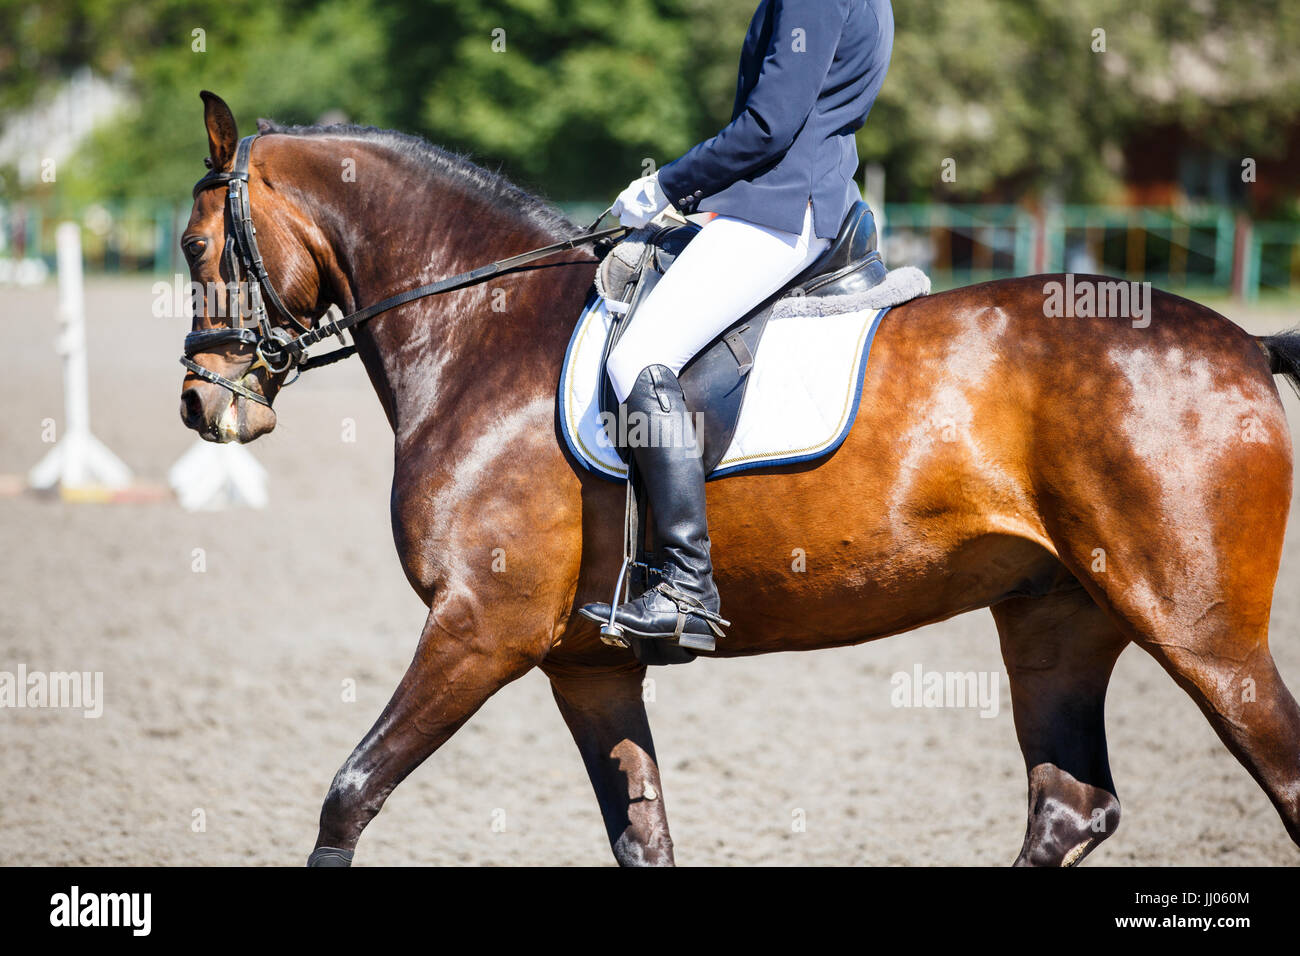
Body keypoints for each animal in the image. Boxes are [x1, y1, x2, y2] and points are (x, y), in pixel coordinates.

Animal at [175, 95, 1300, 868]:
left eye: (193, 245)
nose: (200, 403)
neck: (482, 336)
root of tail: (1245, 342)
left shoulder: (478, 629)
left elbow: (349, 791)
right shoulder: (585, 666)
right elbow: (643, 836)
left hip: (1199, 630)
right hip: (1055, 615)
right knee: (1068, 805)